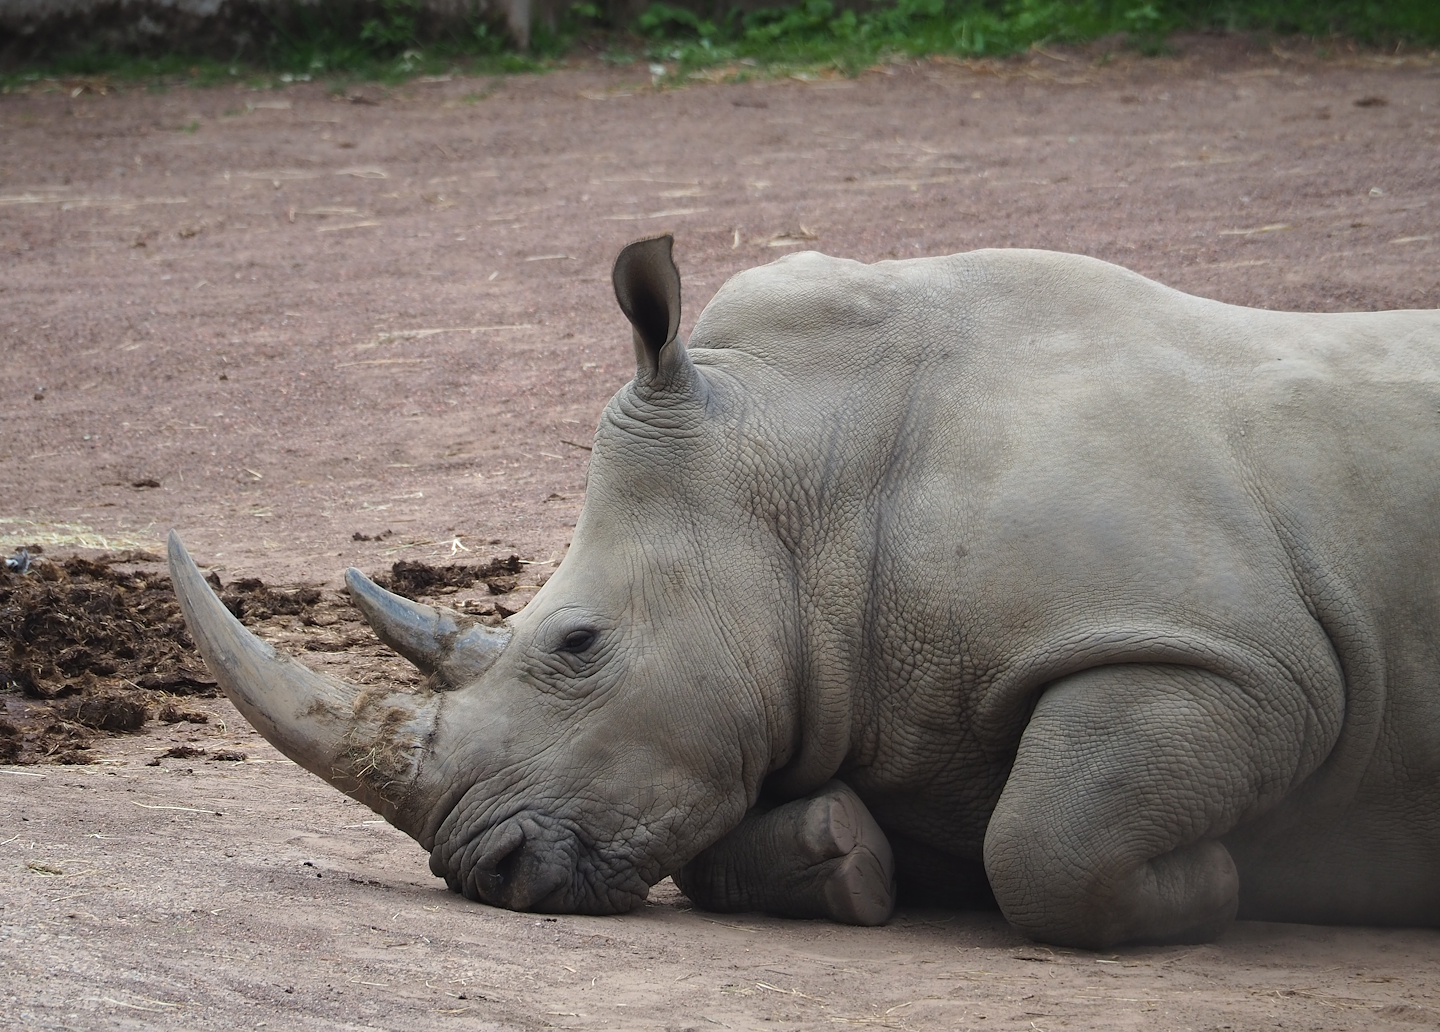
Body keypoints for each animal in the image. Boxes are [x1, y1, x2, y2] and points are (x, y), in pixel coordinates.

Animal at [168, 235, 1440, 948]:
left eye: (576, 644)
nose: (490, 874)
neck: (813, 475)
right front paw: (848, 856)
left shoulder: (1231, 658)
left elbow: (1046, 840)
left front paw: (1223, 883)